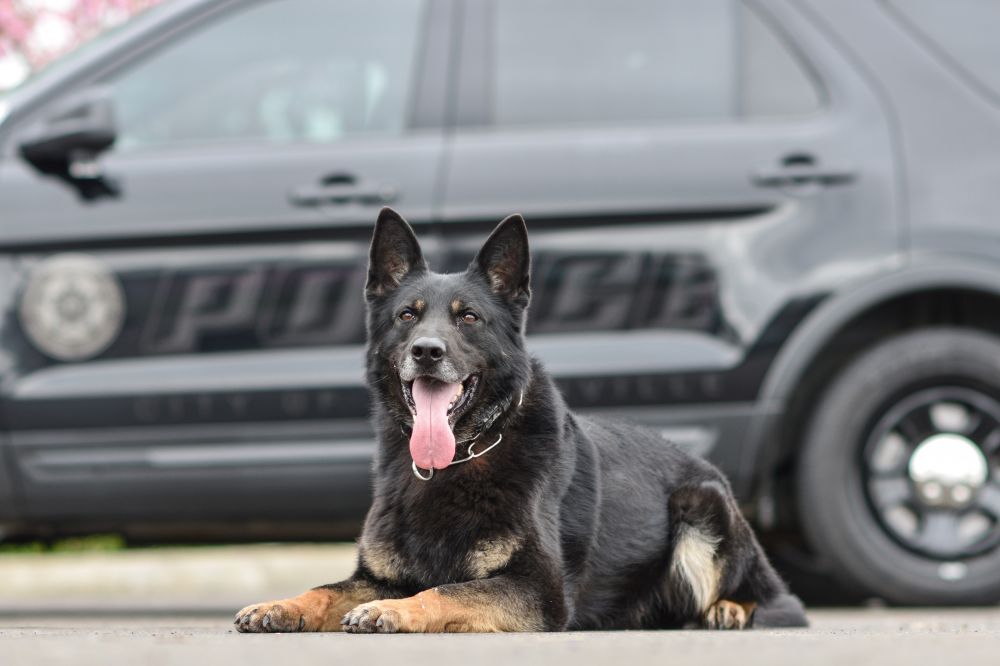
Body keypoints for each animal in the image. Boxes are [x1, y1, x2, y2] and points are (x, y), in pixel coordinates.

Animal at [234, 208, 804, 632]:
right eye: (407, 315)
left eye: (468, 317)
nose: (427, 351)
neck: (459, 458)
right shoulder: (376, 573)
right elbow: (326, 589)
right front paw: (279, 605)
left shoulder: (536, 589)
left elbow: (444, 589)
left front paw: (392, 610)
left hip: (699, 504)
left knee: (777, 601)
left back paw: (727, 610)